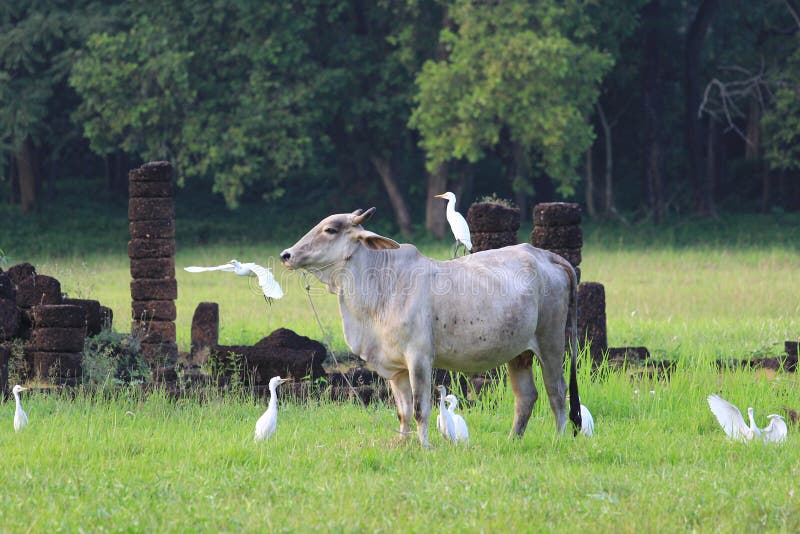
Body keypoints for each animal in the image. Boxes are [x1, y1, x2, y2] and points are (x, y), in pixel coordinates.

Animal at [280, 207, 582, 447]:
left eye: (330, 229)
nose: (286, 254)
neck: (382, 284)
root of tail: (545, 255)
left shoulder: (419, 358)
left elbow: (419, 409)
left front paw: (424, 446)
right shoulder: (394, 368)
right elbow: (402, 411)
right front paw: (403, 444)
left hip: (551, 343)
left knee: (556, 392)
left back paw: (559, 439)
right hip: (519, 353)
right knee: (526, 396)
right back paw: (512, 441)